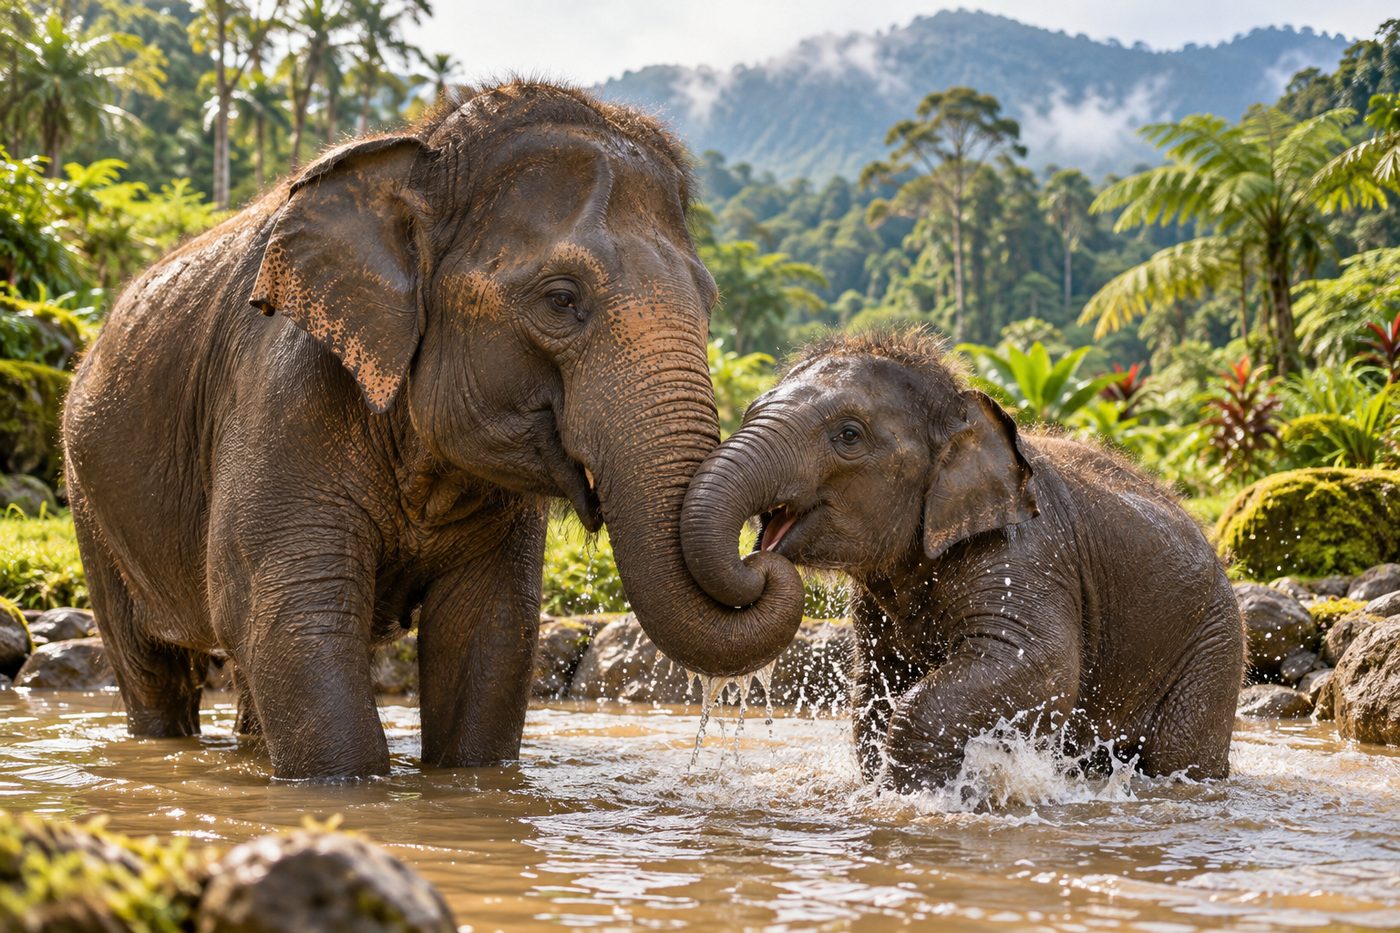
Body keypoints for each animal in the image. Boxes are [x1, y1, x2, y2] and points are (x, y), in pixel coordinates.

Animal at [62, 82, 803, 779]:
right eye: (561, 299)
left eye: (709, 301)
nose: (764, 547)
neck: (423, 155)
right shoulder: (281, 392)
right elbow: (288, 620)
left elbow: (488, 631)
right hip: (89, 500)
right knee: (151, 670)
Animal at [681, 329, 1244, 792]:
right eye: (751, 409)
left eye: (849, 435)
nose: (756, 559)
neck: (963, 413)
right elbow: (873, 693)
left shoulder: (1025, 554)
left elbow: (1040, 663)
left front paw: (917, 796)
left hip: (1212, 647)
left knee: (1177, 753)